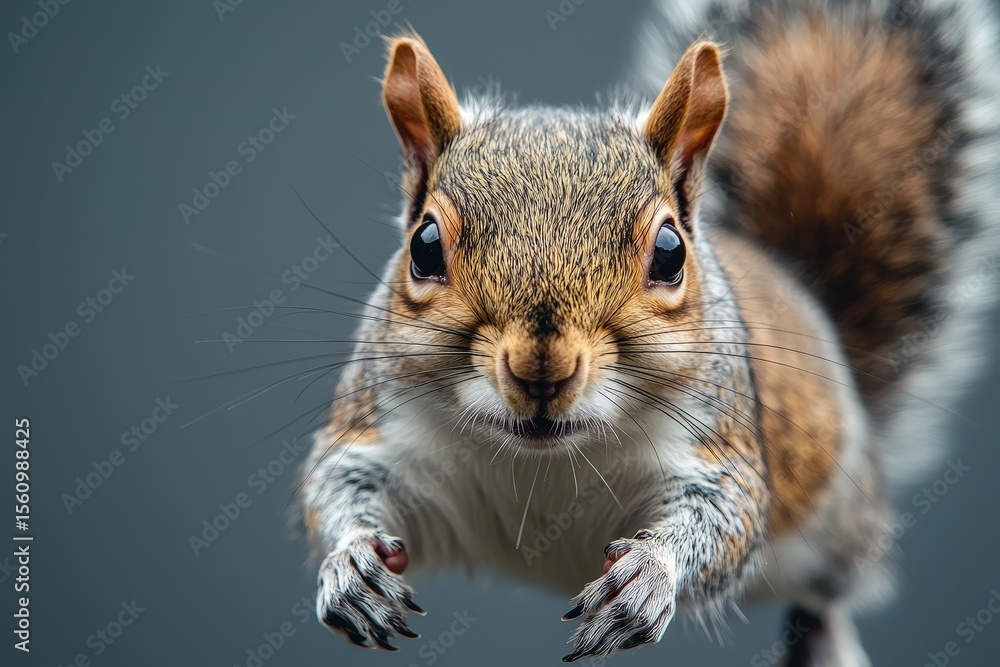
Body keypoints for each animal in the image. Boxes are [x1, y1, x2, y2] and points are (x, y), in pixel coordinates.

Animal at [298, 0, 1000, 664]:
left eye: (669, 253)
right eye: (424, 246)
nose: (541, 370)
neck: (545, 461)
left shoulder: (720, 446)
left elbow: (725, 520)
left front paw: (647, 579)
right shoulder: (378, 425)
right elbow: (333, 485)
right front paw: (351, 567)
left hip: (838, 522)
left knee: (829, 592)